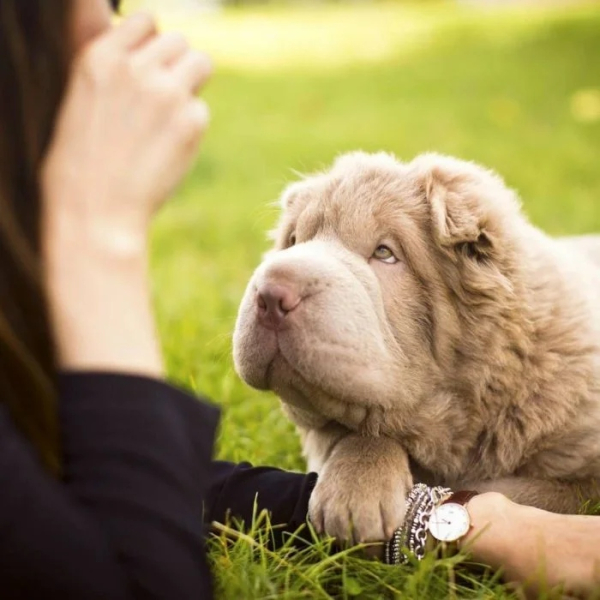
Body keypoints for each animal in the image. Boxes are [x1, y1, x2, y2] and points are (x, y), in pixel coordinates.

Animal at [232, 151, 600, 544]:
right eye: (294, 240)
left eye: (385, 253)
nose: (270, 292)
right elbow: (363, 431)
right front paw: (355, 493)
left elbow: (528, 492)